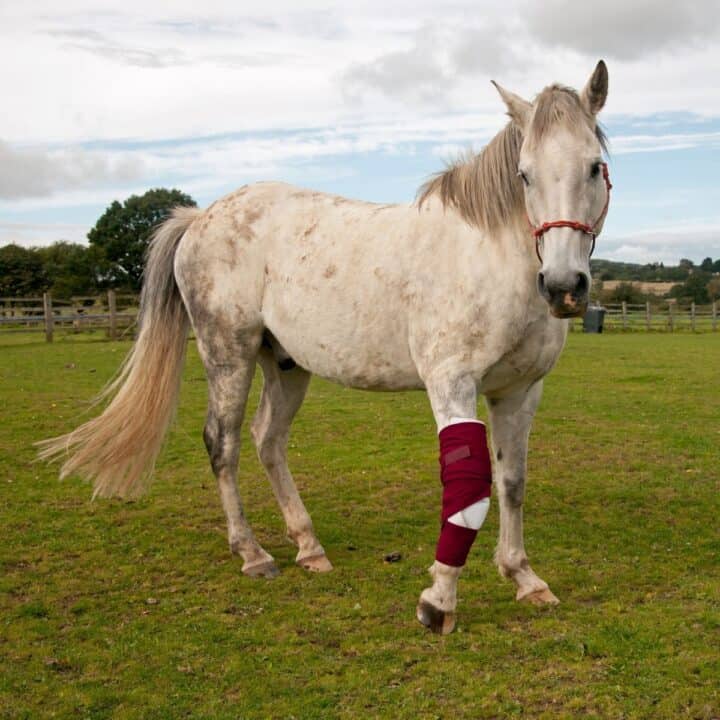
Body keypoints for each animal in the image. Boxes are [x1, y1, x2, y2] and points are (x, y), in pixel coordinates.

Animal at [39, 61, 611, 634]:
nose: (564, 286)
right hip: (228, 355)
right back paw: (252, 553)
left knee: (268, 440)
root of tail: (200, 218)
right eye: (524, 175)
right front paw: (439, 601)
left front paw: (524, 577)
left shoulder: (519, 391)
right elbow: (468, 488)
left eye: (594, 167)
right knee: (222, 443)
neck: (489, 257)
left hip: (286, 365)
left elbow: (511, 480)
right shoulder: (452, 383)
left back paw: (308, 546)